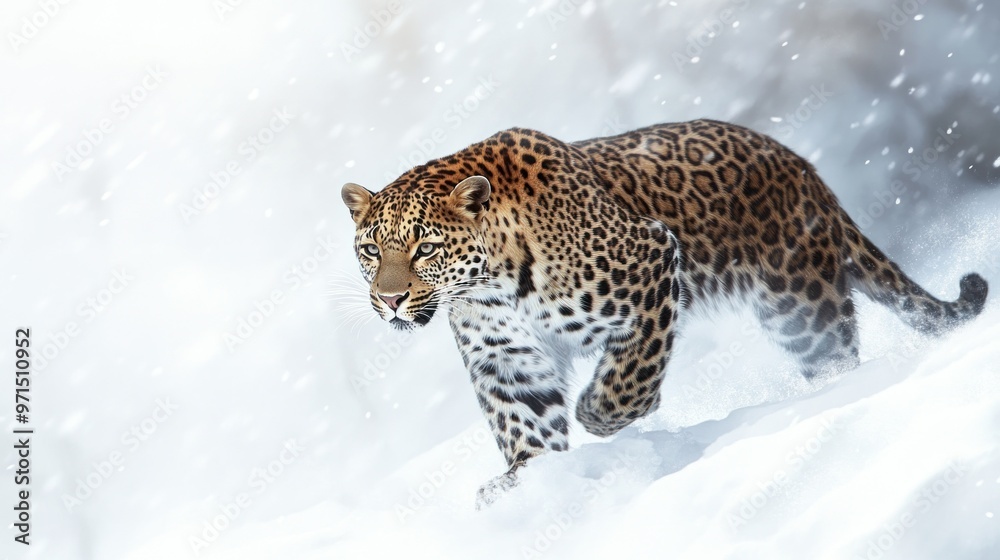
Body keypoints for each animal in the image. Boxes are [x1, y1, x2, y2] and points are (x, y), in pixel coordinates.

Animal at [340, 119, 988, 508]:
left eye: (425, 248)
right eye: (371, 250)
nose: (390, 299)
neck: (492, 283)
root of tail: (804, 168)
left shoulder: (652, 263)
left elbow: (629, 377)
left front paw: (600, 415)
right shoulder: (506, 356)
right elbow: (523, 424)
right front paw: (531, 487)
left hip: (802, 306)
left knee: (837, 355)